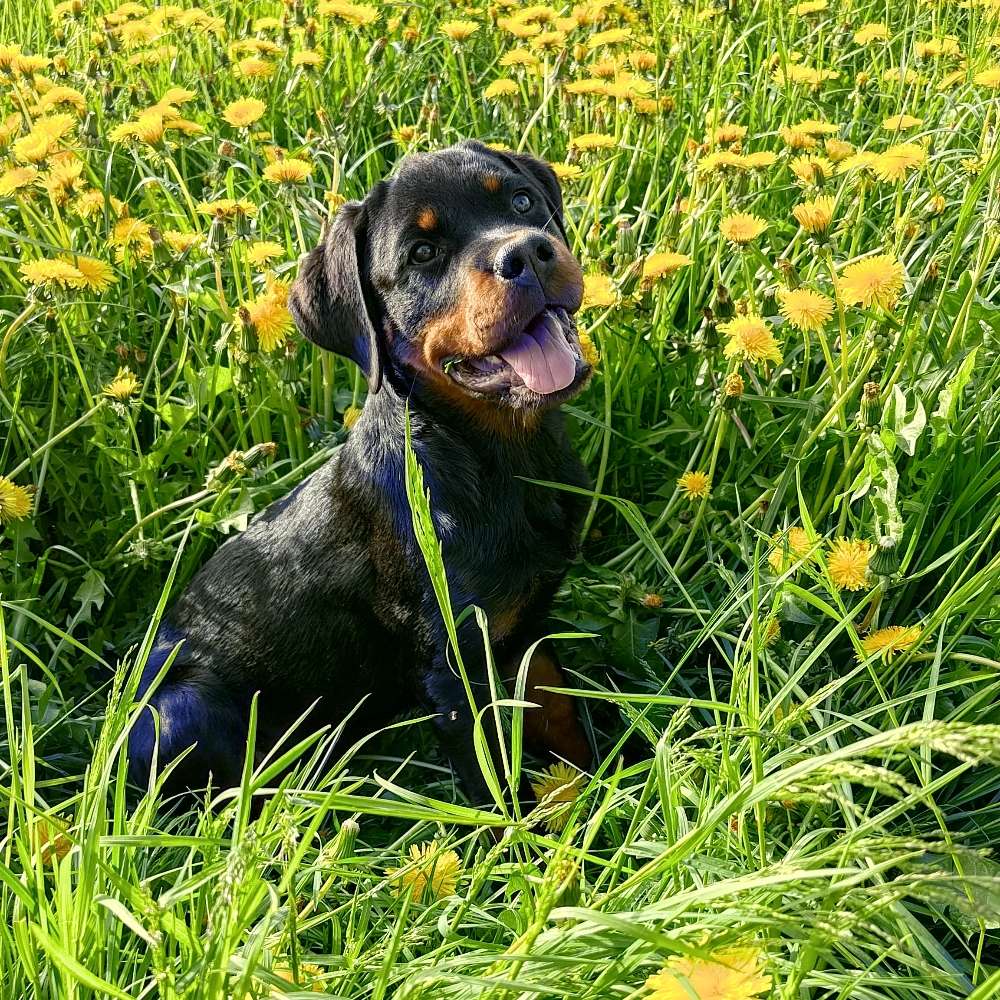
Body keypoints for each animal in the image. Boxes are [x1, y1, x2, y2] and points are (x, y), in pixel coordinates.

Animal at [125, 139, 592, 804]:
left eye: (522, 202)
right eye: (422, 253)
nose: (527, 251)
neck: (503, 454)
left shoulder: (529, 627)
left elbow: (561, 711)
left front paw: (602, 789)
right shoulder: (453, 671)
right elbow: (494, 780)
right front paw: (530, 829)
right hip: (184, 710)